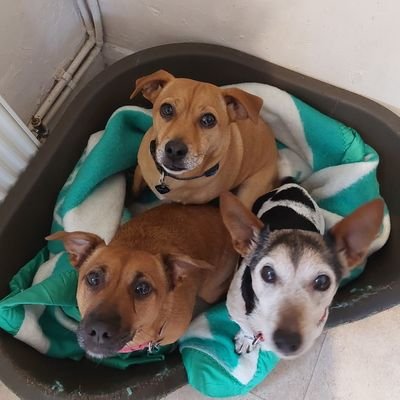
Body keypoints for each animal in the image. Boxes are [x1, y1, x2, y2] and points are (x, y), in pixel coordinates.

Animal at [131, 70, 278, 208]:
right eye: (167, 109)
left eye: (208, 120)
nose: (174, 150)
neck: (170, 178)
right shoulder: (140, 169)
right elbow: (135, 185)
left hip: (249, 191)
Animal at [220, 181, 382, 360]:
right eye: (267, 273)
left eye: (323, 282)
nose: (286, 341)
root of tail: (293, 185)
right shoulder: (236, 308)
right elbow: (246, 327)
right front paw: (246, 339)